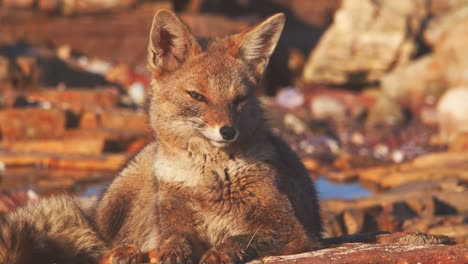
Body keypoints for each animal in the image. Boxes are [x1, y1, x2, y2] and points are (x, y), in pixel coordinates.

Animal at [0, 9, 322, 262]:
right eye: (197, 96)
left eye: (239, 100)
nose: (227, 131)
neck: (209, 178)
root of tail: (94, 217)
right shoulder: (173, 221)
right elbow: (174, 240)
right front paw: (173, 252)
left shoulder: (290, 229)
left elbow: (240, 239)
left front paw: (219, 252)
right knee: (106, 247)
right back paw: (126, 253)